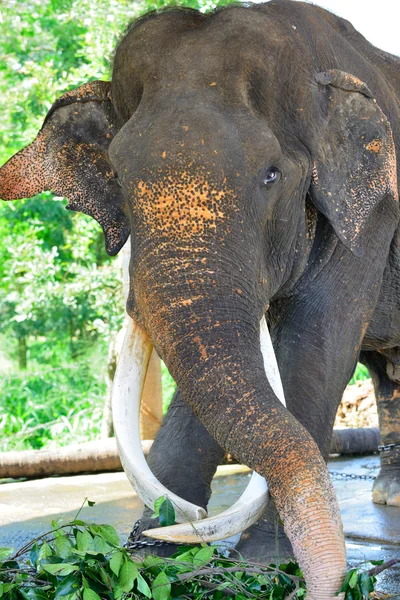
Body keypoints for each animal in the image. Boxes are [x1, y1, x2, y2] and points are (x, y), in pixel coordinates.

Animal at [0, 0, 400, 596]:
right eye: (118, 174)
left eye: (272, 174)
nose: (180, 524)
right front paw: (149, 554)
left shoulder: (372, 213)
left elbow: (313, 344)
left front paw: (263, 564)